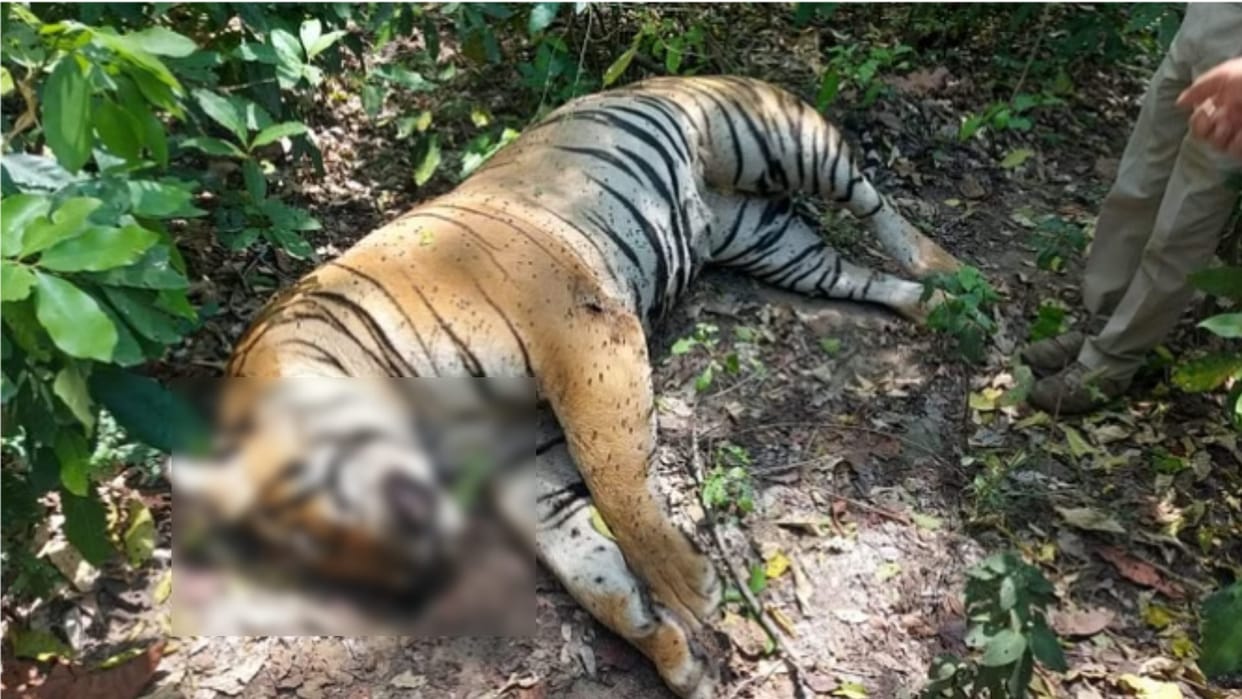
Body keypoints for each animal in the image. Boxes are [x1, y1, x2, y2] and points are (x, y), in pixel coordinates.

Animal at [172, 76, 961, 698]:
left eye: (316, 491)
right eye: (310, 556)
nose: (413, 577)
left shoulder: (583, 334)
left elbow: (616, 476)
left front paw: (691, 585)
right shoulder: (524, 457)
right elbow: (595, 573)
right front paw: (675, 659)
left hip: (770, 135)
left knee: (869, 196)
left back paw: (947, 266)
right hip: (771, 242)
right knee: (852, 273)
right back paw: (937, 304)